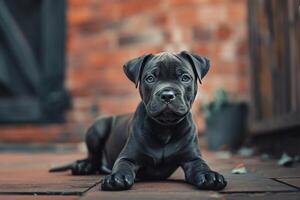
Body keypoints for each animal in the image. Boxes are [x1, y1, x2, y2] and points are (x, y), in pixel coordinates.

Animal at [49, 51, 227, 191]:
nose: (167, 95)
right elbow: (122, 165)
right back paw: (83, 165)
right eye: (150, 78)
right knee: (93, 157)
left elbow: (201, 166)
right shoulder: (128, 156)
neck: (165, 128)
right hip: (97, 128)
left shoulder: (192, 159)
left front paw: (210, 176)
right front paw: (116, 177)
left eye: (185, 78)